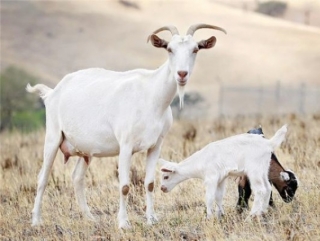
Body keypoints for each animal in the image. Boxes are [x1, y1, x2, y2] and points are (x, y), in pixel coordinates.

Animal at [26, 23, 228, 229]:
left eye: (195, 49)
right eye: (169, 49)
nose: (181, 74)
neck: (151, 96)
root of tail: (51, 92)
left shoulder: (156, 145)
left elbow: (149, 183)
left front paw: (151, 219)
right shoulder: (125, 145)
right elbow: (124, 186)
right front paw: (123, 223)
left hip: (86, 151)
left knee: (77, 178)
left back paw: (89, 218)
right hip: (53, 137)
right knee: (42, 177)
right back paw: (36, 220)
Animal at [160, 124, 288, 218]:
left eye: (166, 176)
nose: (162, 188)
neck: (201, 161)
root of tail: (268, 143)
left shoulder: (211, 178)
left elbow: (209, 197)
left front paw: (209, 217)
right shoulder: (221, 179)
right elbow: (218, 197)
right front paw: (220, 215)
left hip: (254, 171)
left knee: (260, 190)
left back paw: (251, 216)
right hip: (263, 169)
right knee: (268, 188)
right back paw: (263, 212)